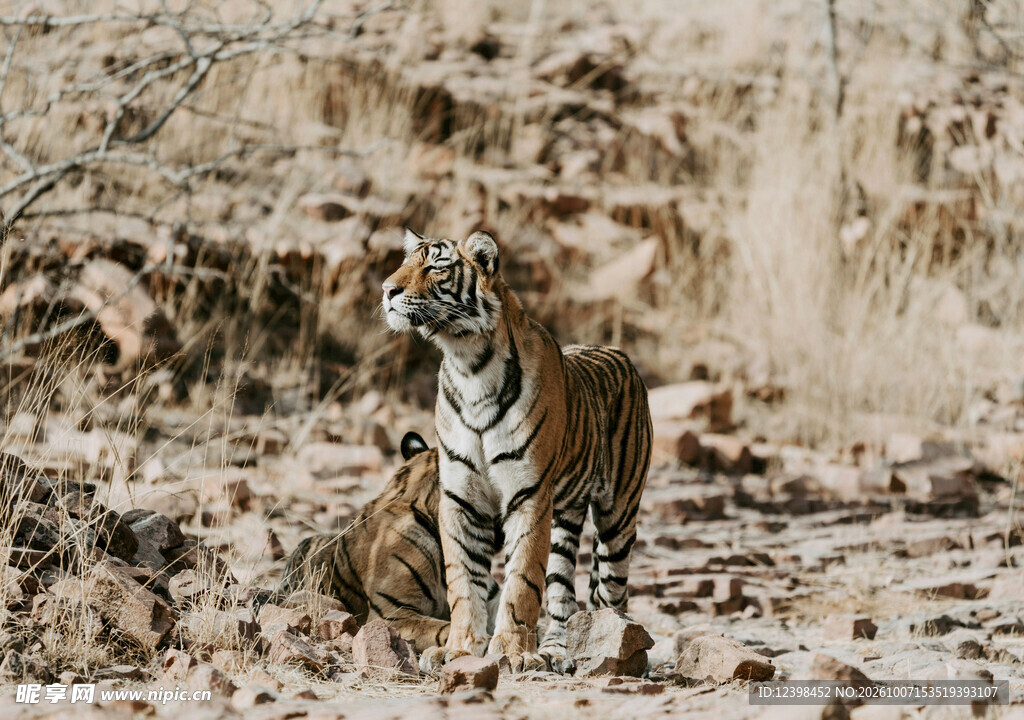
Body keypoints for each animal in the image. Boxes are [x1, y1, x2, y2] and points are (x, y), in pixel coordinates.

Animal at [382, 228, 653, 673]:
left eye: (436, 266)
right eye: (404, 263)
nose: (387, 290)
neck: (468, 364)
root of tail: (619, 353)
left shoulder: (529, 495)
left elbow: (522, 581)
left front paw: (510, 652)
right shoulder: (461, 497)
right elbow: (463, 582)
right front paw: (460, 649)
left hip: (618, 517)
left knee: (612, 593)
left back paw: (617, 653)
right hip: (563, 519)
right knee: (561, 591)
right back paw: (556, 652)